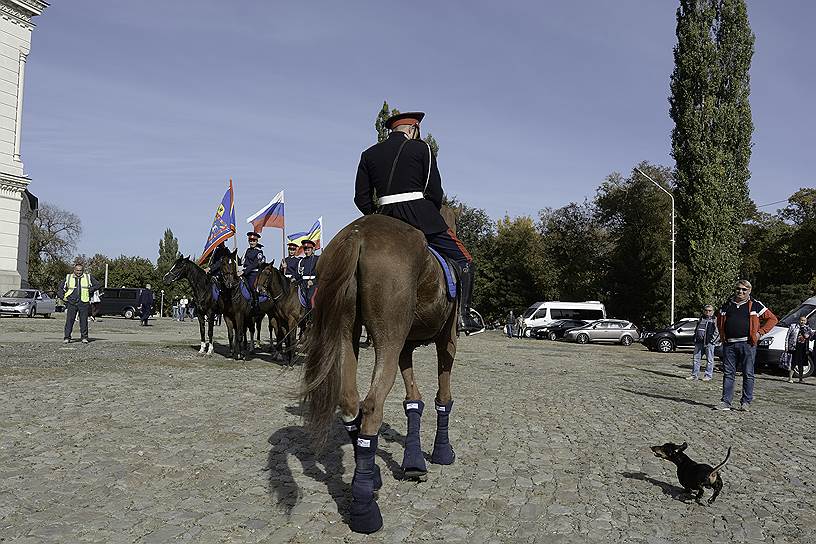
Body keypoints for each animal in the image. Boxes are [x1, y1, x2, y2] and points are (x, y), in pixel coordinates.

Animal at [302, 209, 462, 536]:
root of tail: (358, 233)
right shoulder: (447, 339)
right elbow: (443, 396)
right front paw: (441, 452)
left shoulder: (406, 347)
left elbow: (413, 399)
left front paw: (413, 461)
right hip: (389, 337)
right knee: (372, 405)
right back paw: (366, 511)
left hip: (346, 332)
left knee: (351, 402)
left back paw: (370, 475)